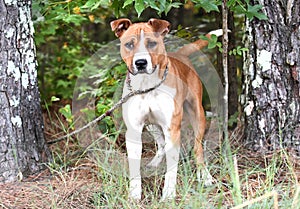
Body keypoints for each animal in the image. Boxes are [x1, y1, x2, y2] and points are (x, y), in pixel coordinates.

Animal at [110, 18, 223, 201]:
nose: (140, 63)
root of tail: (181, 54)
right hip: (152, 124)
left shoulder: (172, 129)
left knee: (198, 148)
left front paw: (169, 195)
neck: (147, 86)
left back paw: (205, 176)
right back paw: (154, 163)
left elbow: (171, 170)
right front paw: (134, 194)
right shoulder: (134, 131)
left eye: (152, 43)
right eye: (129, 44)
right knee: (161, 144)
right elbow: (134, 165)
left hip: (198, 114)